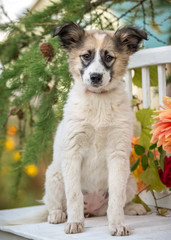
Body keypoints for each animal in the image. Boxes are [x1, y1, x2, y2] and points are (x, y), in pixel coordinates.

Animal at [42, 23, 147, 236]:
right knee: (55, 203)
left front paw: (117, 225)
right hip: (54, 176)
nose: (95, 77)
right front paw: (75, 223)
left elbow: (116, 198)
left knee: (117, 203)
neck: (99, 100)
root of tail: (91, 210)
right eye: (86, 56)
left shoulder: (117, 153)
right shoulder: (73, 152)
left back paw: (132, 208)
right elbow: (74, 195)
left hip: (129, 179)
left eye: (109, 57)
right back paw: (57, 215)